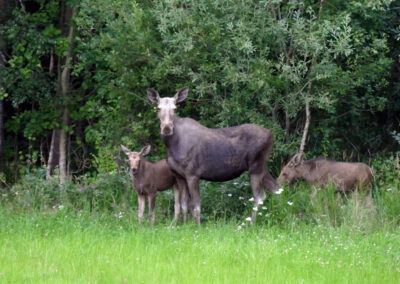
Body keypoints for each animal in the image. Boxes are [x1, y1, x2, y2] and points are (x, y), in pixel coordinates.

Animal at [147, 86, 278, 224]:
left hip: (256, 167)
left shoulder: (193, 174)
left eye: (175, 108)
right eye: (158, 108)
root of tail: (271, 135)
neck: (172, 146)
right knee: (276, 189)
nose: (167, 128)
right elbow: (183, 205)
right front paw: (184, 225)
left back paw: (251, 224)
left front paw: (197, 226)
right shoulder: (179, 176)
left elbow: (196, 207)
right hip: (262, 167)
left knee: (259, 196)